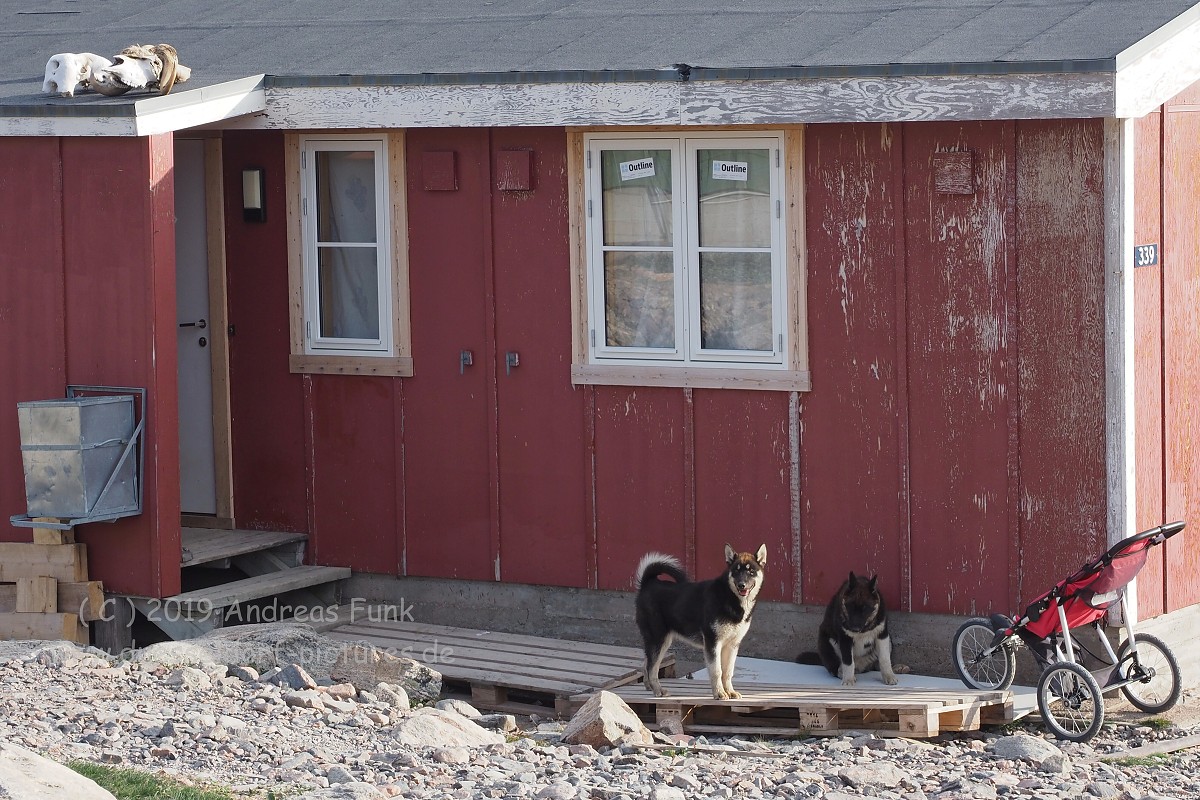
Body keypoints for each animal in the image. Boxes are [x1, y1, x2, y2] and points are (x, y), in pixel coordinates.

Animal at [633, 544, 763, 700]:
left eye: (751, 571)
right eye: (736, 571)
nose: (741, 585)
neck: (729, 596)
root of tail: (648, 582)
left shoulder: (732, 645)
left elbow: (727, 672)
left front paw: (730, 691)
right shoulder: (713, 643)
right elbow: (717, 671)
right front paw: (719, 693)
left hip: (660, 641)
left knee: (646, 663)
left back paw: (649, 686)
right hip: (658, 639)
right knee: (652, 667)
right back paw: (658, 690)